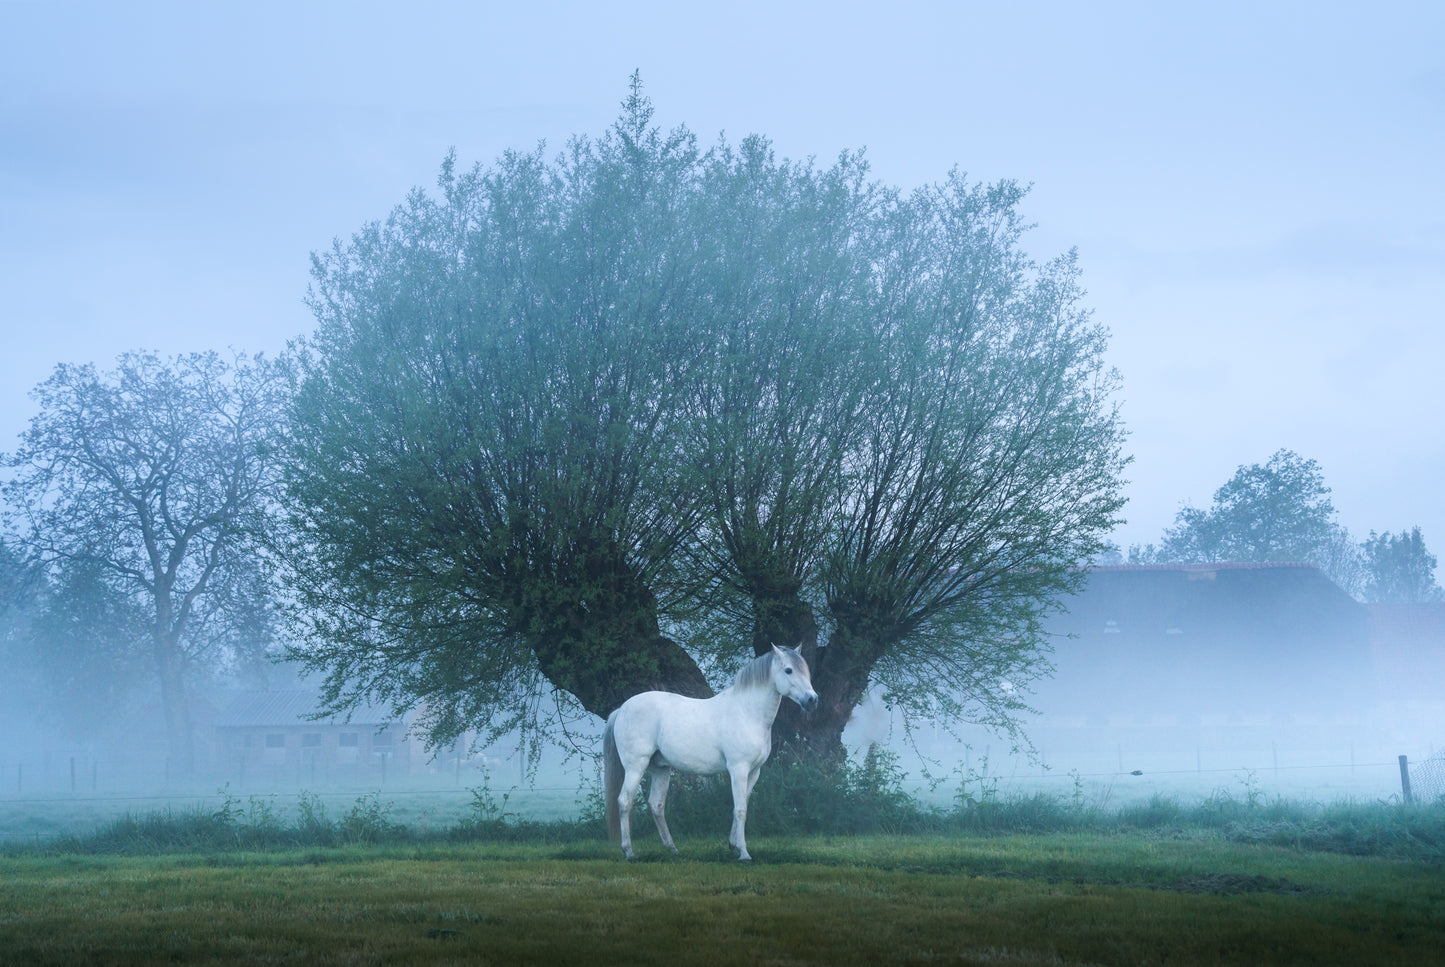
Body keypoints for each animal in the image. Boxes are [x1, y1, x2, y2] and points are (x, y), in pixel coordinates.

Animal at [603, 644, 819, 861]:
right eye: (788, 670)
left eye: (806, 670)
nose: (812, 700)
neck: (747, 712)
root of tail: (621, 709)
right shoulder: (738, 769)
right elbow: (740, 809)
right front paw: (744, 853)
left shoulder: (754, 772)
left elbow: (742, 805)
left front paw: (733, 846)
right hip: (636, 766)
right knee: (625, 802)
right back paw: (629, 851)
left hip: (660, 768)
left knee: (656, 805)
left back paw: (672, 849)